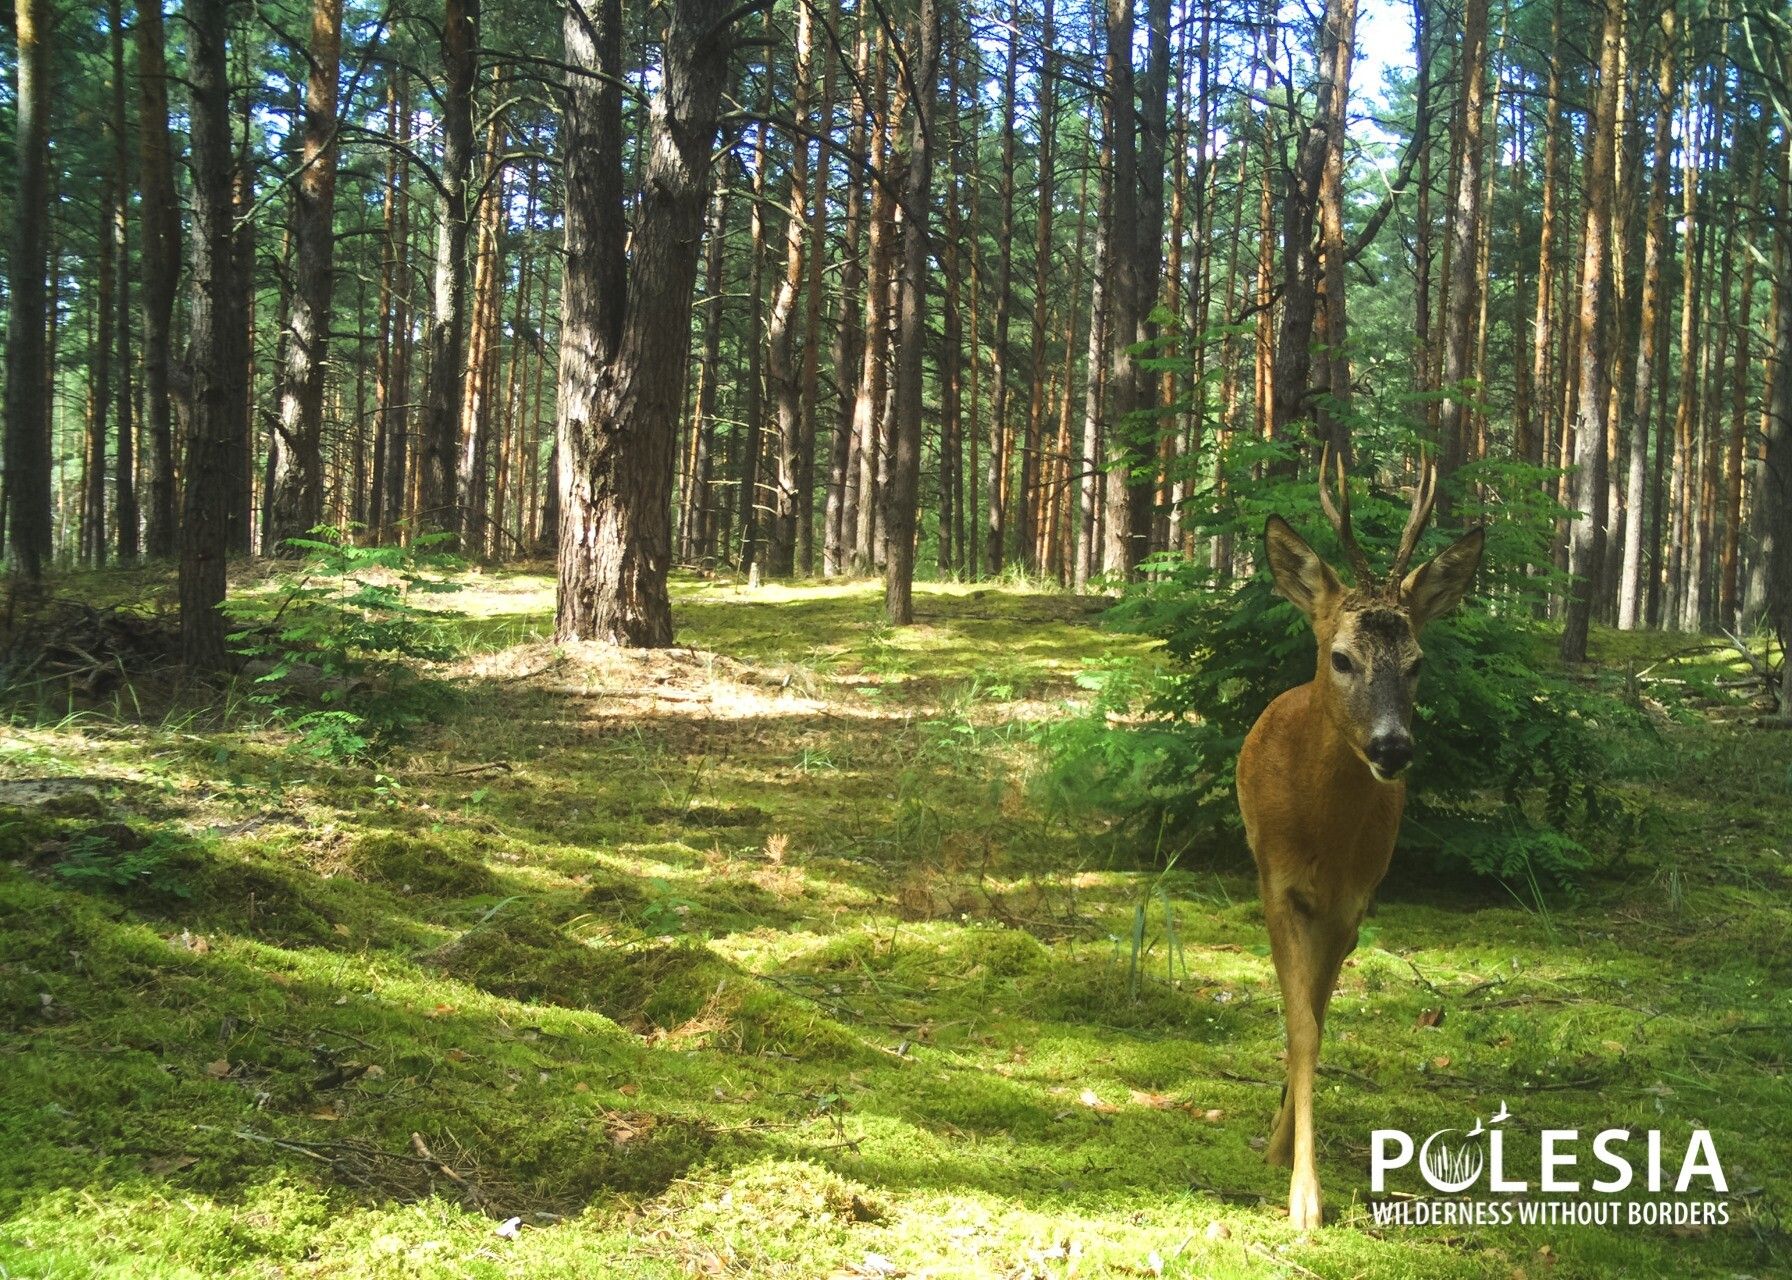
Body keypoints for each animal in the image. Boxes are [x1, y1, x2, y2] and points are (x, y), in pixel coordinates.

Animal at [1232, 451, 1483, 1226]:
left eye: (1418, 662)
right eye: (1341, 657)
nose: (1393, 747)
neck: (1324, 834)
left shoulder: (1353, 901)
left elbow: (1316, 1017)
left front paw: (1292, 1165)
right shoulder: (1277, 883)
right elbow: (1301, 1026)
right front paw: (1302, 1195)